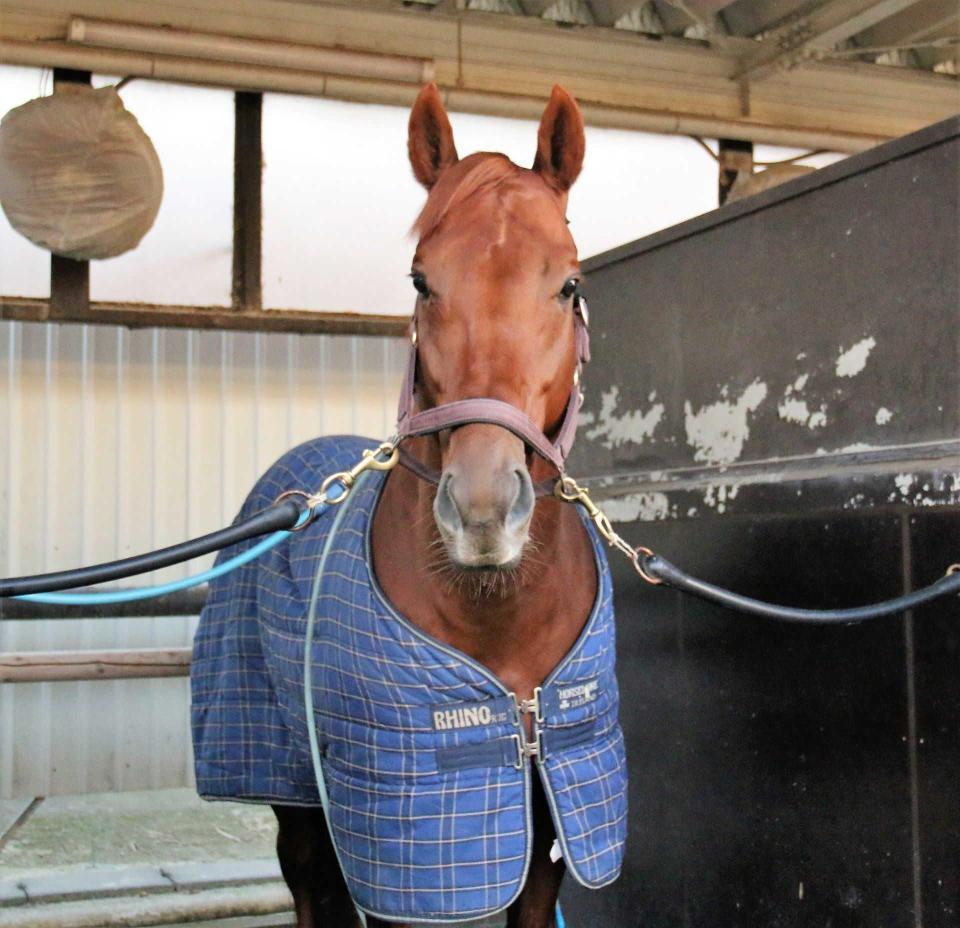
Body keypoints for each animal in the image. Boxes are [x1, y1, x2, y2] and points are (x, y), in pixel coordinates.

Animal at [274, 83, 596, 924]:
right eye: (422, 280)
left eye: (569, 284)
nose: (483, 512)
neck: (498, 617)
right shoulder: (414, 860)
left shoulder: (543, 835)